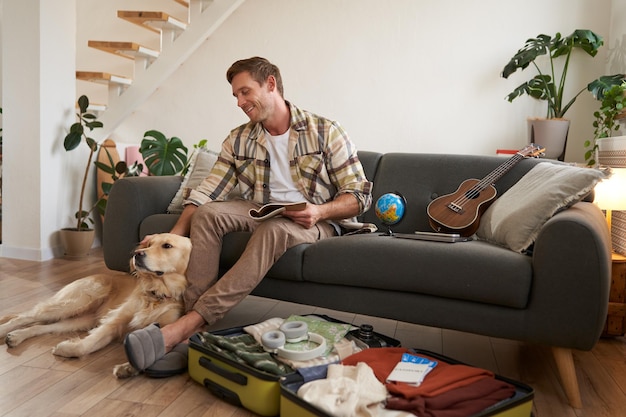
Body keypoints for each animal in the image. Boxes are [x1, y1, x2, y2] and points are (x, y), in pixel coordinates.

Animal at [0, 234, 190, 376]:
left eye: (167, 246)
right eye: (149, 244)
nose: (137, 254)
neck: (157, 293)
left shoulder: (166, 326)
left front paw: (129, 367)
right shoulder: (114, 321)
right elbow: (87, 345)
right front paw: (67, 349)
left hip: (81, 319)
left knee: (41, 326)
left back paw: (16, 336)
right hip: (76, 301)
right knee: (24, 317)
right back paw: (6, 331)